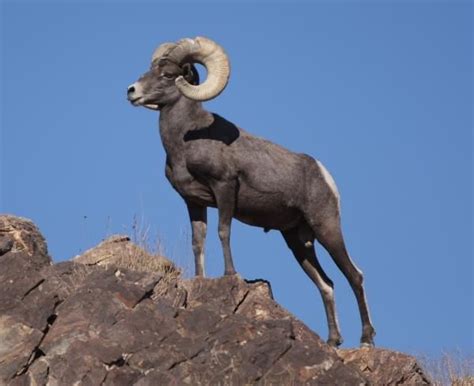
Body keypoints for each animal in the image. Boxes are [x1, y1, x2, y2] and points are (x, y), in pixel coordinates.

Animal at [128, 36, 376, 346]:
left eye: (167, 74)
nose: (131, 91)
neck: (184, 141)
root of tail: (322, 173)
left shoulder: (224, 188)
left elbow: (223, 232)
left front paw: (230, 274)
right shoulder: (193, 203)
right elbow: (198, 241)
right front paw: (200, 278)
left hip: (326, 228)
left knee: (355, 276)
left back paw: (366, 338)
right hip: (296, 240)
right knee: (326, 284)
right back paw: (333, 340)